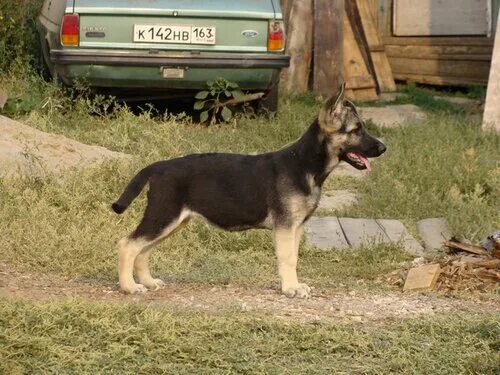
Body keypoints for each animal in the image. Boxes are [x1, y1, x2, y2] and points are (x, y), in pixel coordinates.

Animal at [112, 83, 386, 298]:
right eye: (356, 130)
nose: (384, 148)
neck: (306, 164)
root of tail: (158, 166)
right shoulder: (285, 227)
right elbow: (288, 259)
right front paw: (290, 289)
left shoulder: (297, 227)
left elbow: (294, 257)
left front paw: (295, 285)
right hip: (163, 216)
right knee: (128, 244)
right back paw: (129, 287)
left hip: (171, 221)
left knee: (143, 250)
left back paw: (147, 282)